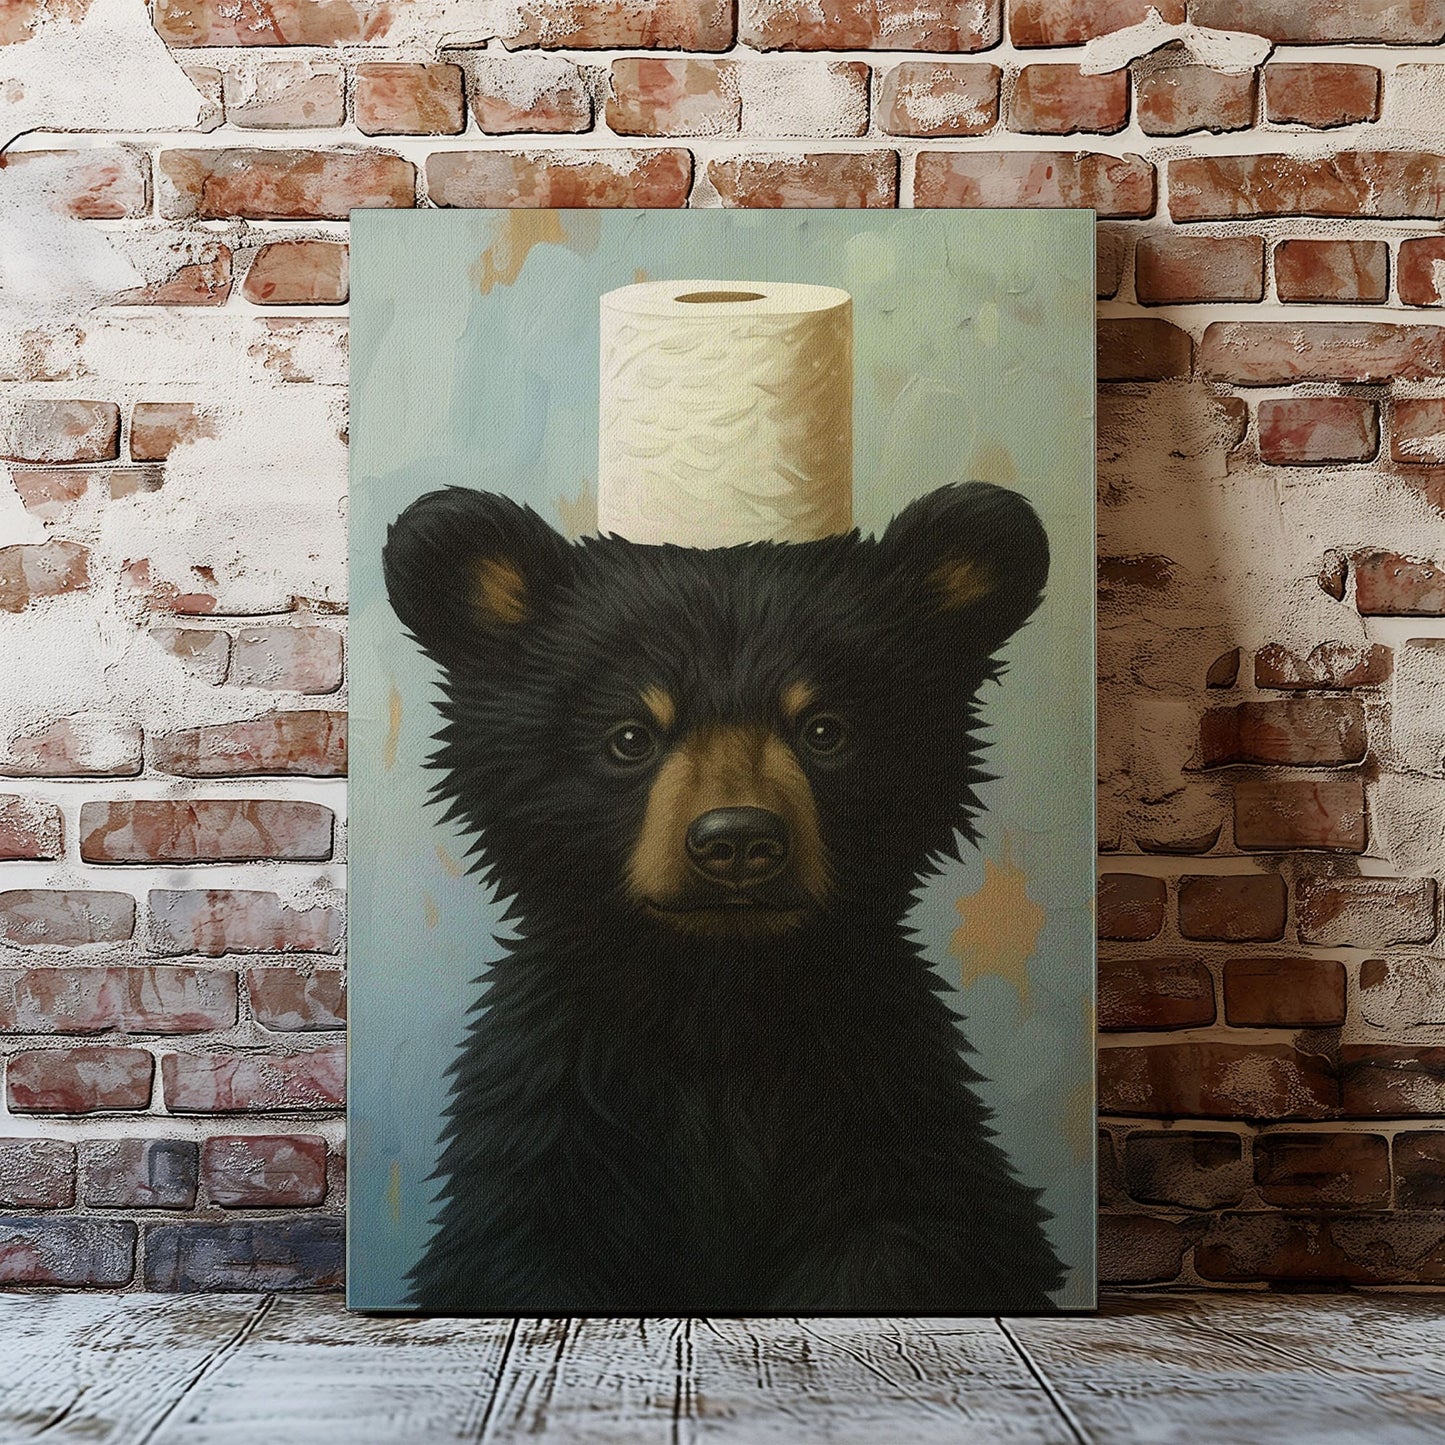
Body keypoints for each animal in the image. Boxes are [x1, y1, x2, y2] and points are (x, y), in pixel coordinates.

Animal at [382, 479, 1065, 1315]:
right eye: (630, 736)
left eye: (824, 729)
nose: (736, 841)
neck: (720, 1002)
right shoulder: (552, 1128)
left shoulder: (881, 1110)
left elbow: (902, 1236)